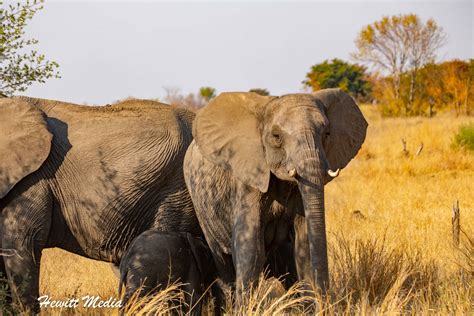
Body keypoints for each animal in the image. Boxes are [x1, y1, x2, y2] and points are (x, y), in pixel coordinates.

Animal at [183, 88, 368, 296]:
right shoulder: (249, 179)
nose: (326, 299)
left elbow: (304, 245)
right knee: (222, 259)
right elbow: (251, 249)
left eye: (327, 133)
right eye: (276, 136)